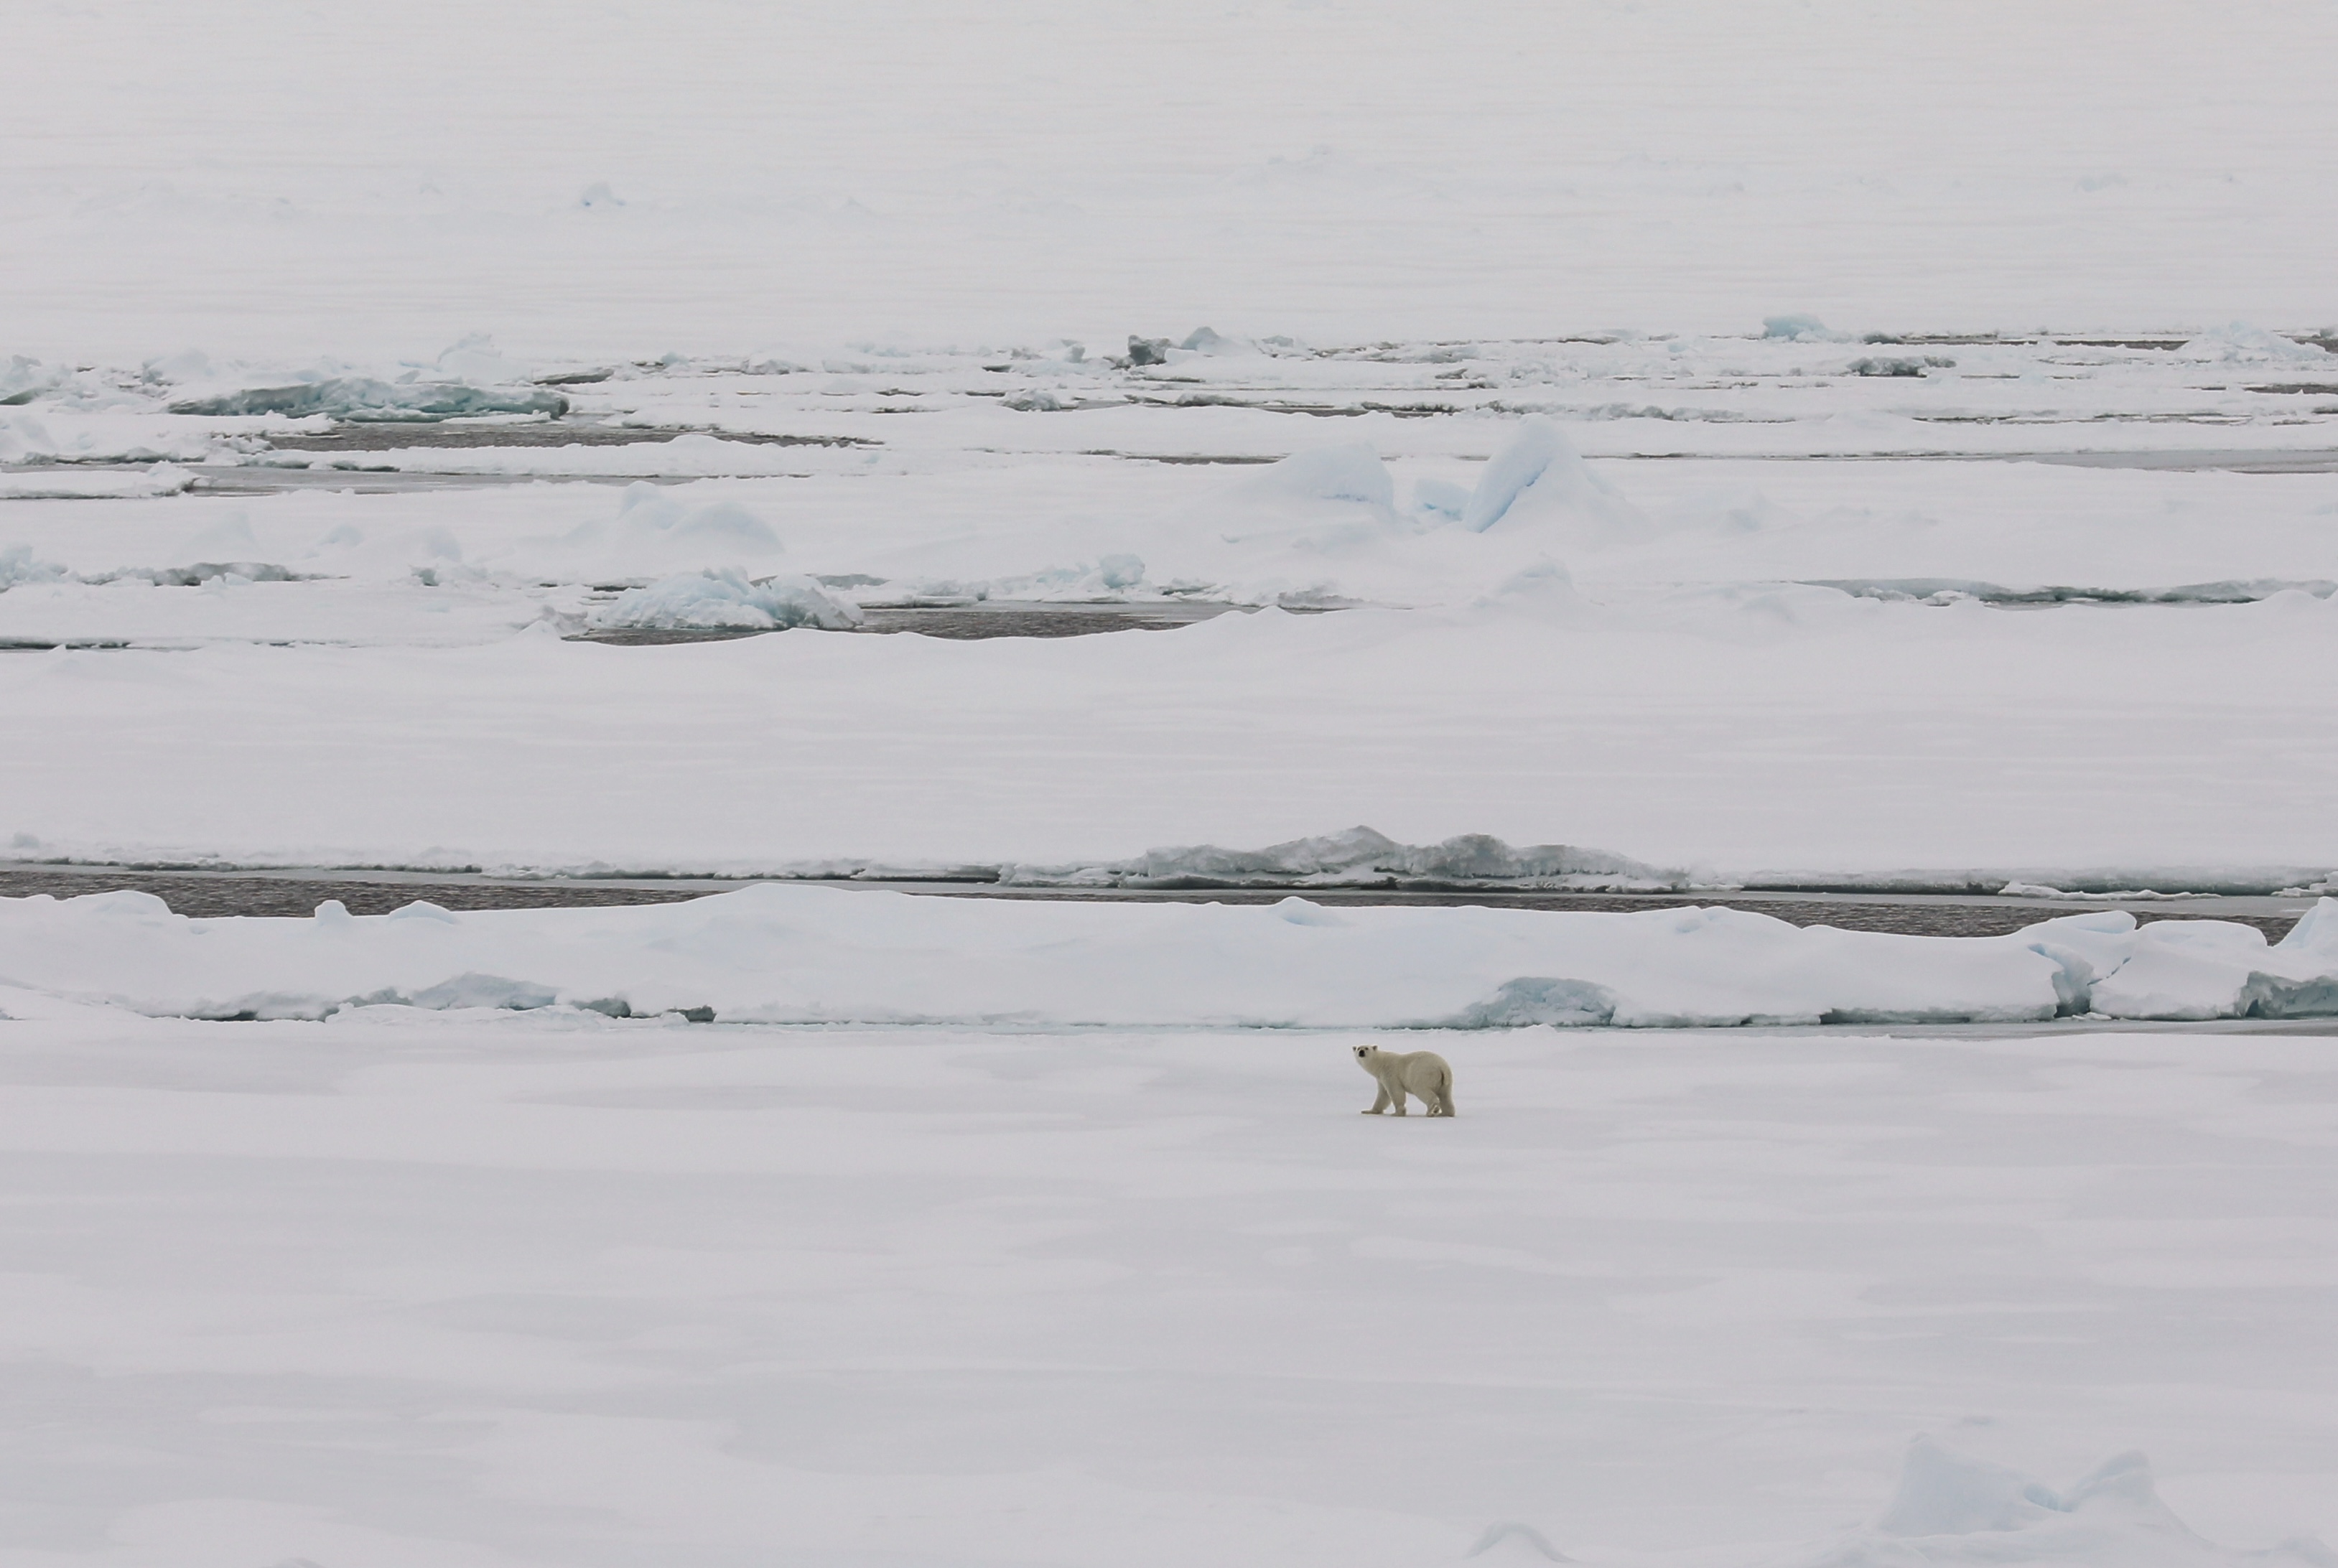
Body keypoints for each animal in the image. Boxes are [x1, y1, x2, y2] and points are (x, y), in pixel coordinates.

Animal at [1353, 1044, 1456, 1117]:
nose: (1361, 1052)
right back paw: (1445, 1113)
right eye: (1358, 1048)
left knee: (1421, 1090)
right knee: (1445, 1096)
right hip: (1446, 1082)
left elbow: (1395, 1092)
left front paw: (1397, 1113)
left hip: (1422, 1074)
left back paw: (1432, 1110)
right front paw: (1368, 1111)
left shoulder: (1390, 1073)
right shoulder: (1381, 1078)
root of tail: (1442, 1067)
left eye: (1366, 1048)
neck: (1381, 1063)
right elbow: (1383, 1095)